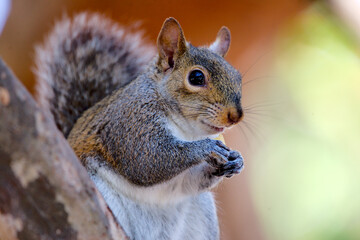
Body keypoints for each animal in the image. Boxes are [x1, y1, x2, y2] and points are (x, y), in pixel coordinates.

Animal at [35, 12, 245, 240]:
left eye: (238, 77)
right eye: (196, 77)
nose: (236, 116)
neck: (186, 131)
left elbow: (190, 181)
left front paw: (236, 160)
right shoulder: (130, 122)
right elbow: (146, 159)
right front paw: (206, 148)